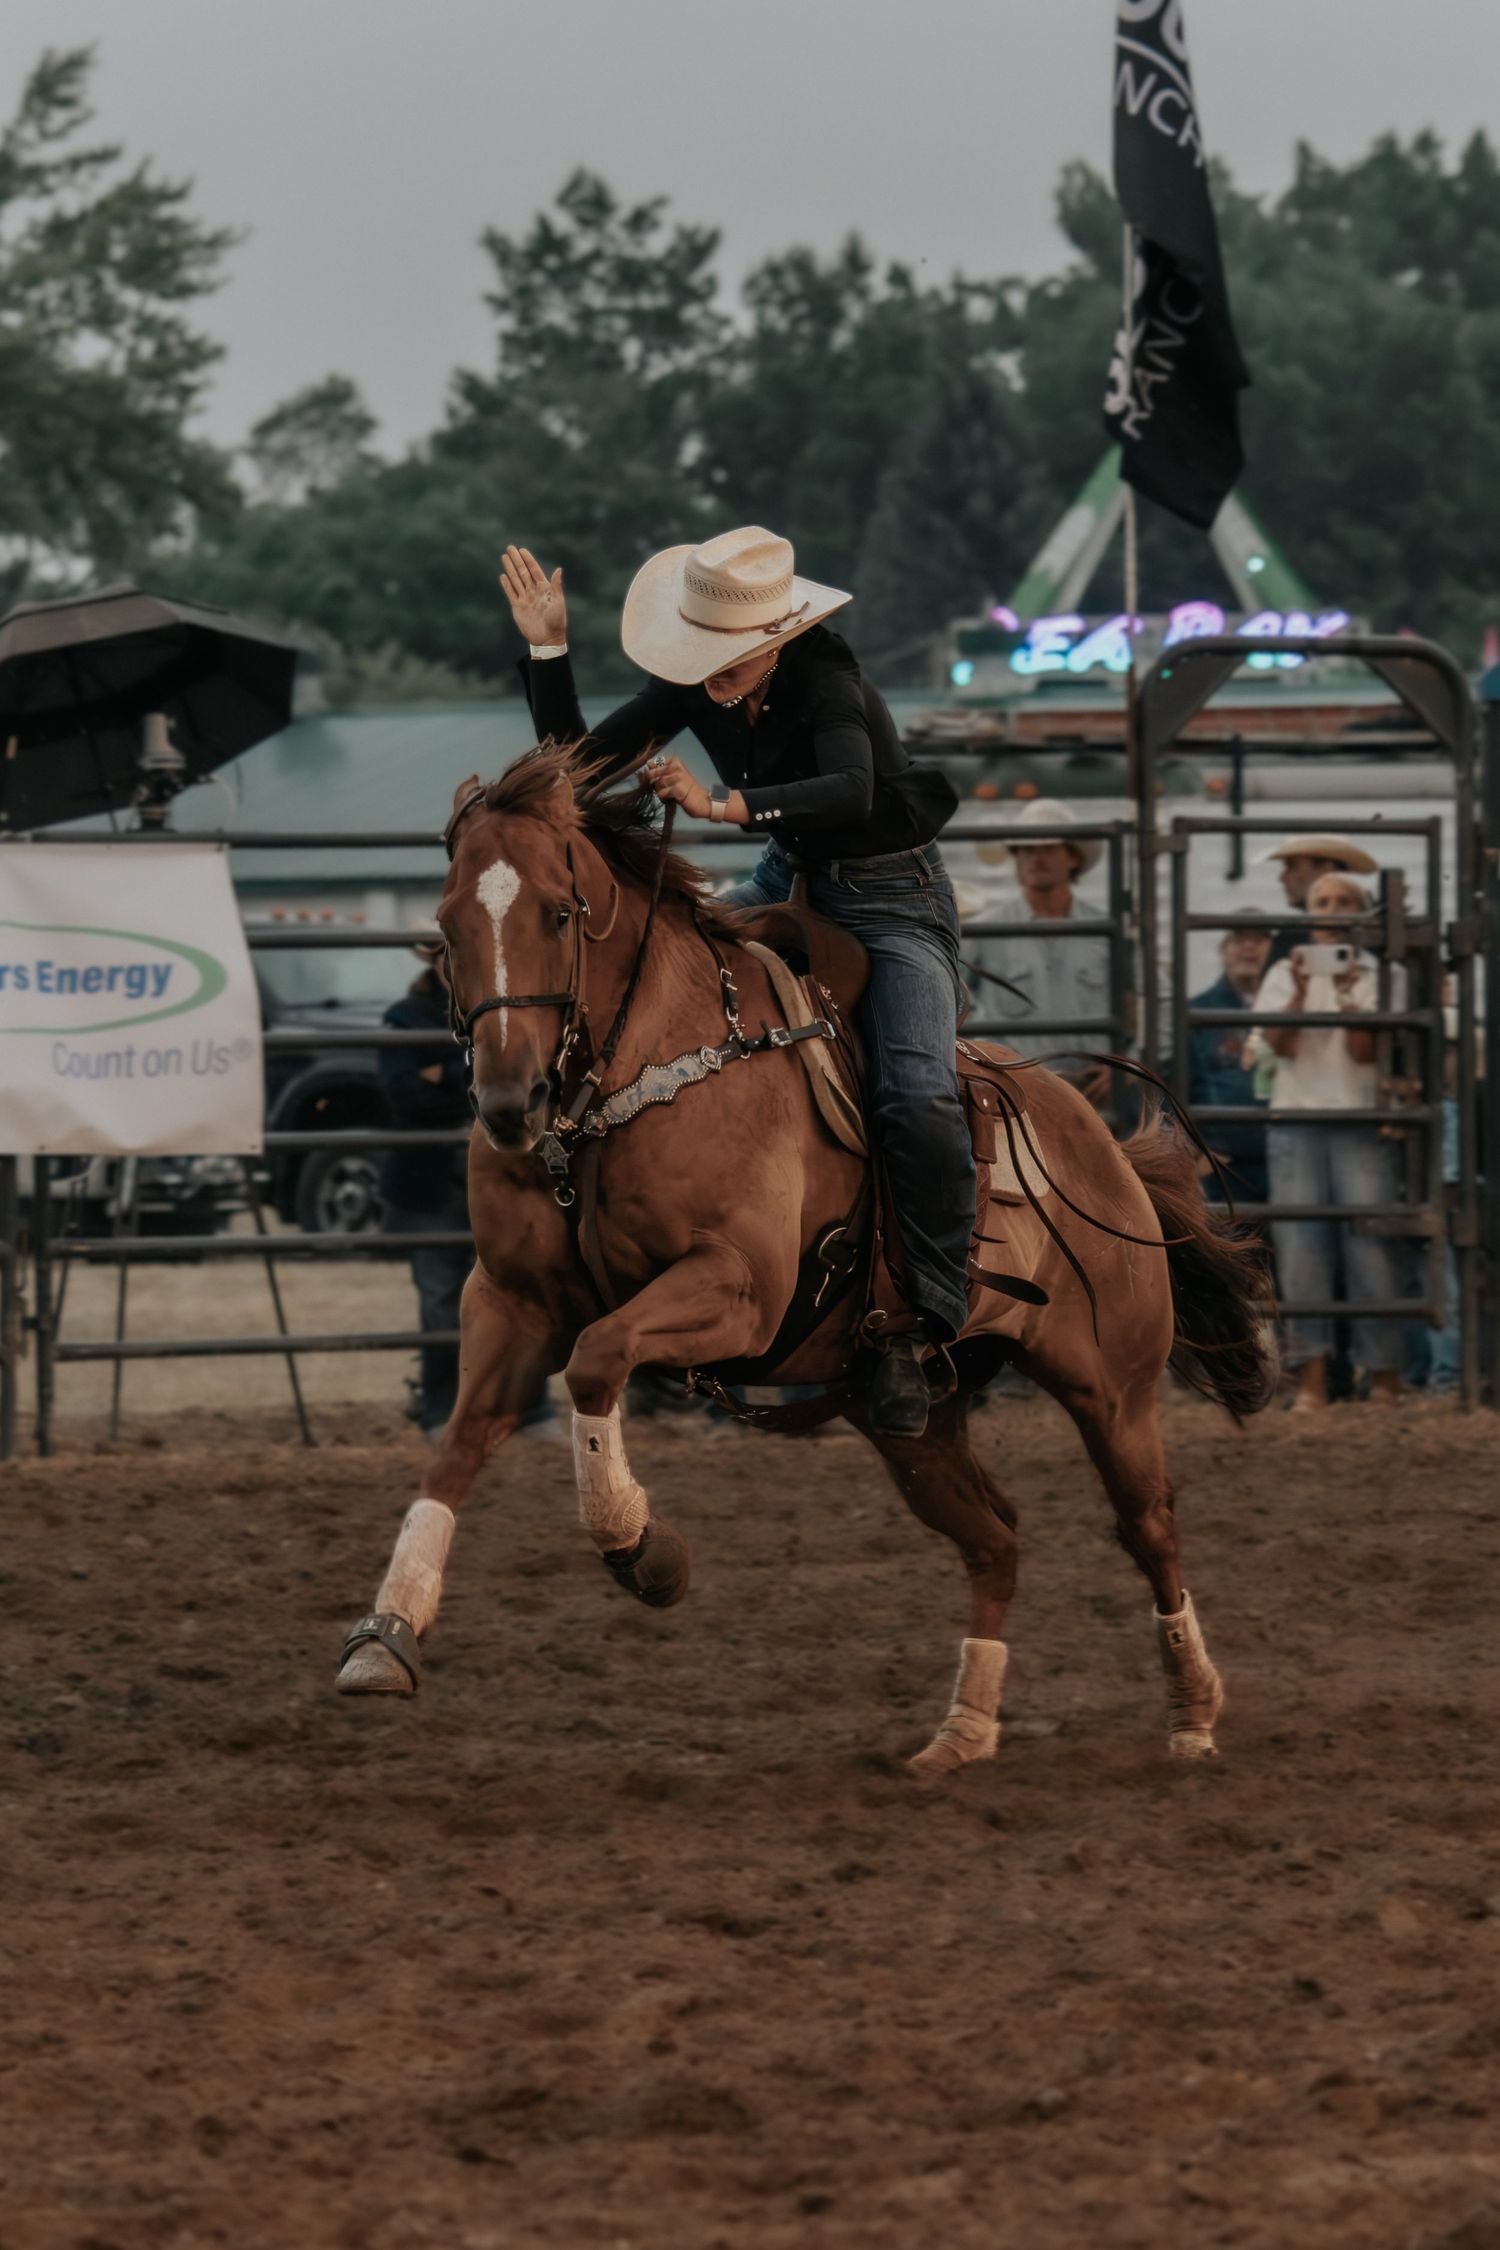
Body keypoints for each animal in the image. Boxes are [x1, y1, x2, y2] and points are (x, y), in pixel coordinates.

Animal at [335, 742, 1276, 1777]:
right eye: (447, 924)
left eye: (556, 909)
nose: (510, 1103)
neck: (623, 1087)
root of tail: (1102, 1146)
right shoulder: (511, 1302)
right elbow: (458, 1445)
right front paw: (386, 1638)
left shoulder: (737, 1290)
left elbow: (597, 1360)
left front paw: (643, 1551)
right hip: (909, 1421)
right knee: (995, 1540)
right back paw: (961, 1732)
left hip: (1112, 1391)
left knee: (1149, 1528)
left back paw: (1193, 1713)